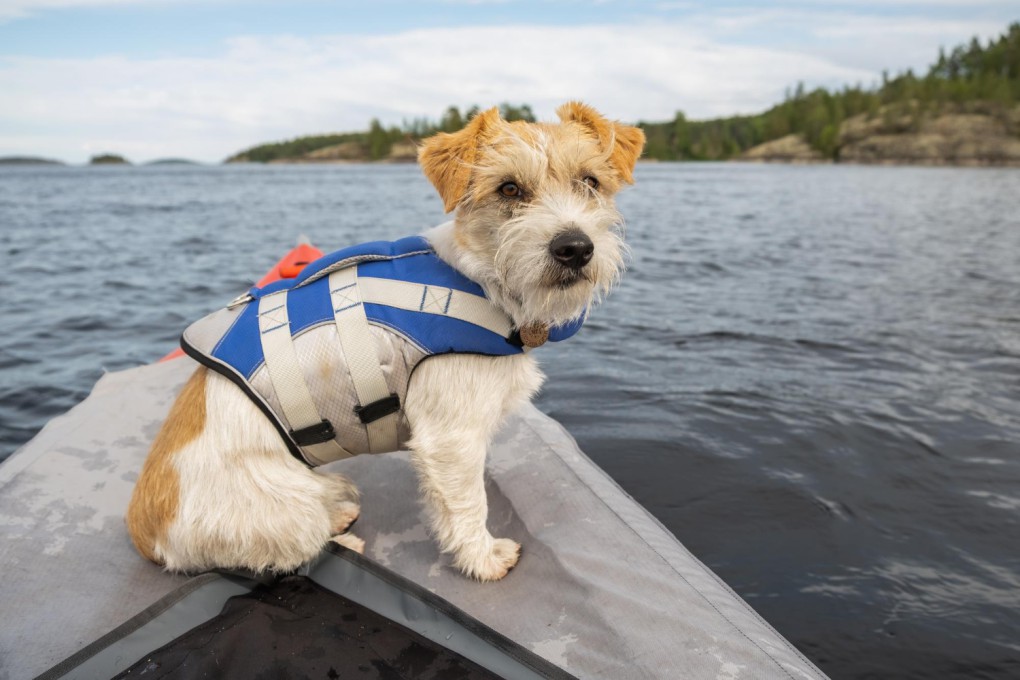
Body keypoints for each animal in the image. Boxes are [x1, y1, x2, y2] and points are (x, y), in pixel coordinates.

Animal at [123, 103, 640, 583]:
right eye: (509, 189)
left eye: (590, 181)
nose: (575, 248)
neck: (481, 280)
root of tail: (146, 536)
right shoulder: (452, 439)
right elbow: (468, 504)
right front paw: (483, 559)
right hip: (284, 506)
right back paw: (343, 540)